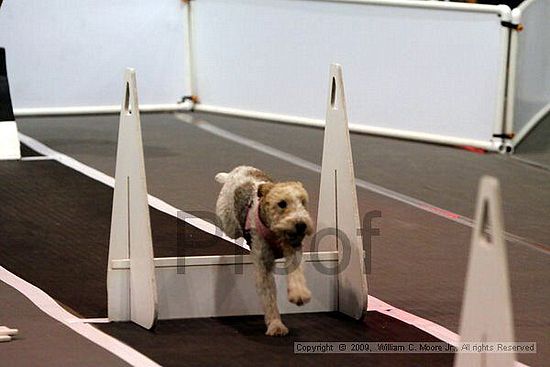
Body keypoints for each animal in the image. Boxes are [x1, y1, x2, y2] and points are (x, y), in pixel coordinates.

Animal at [218, 167, 316, 336]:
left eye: (303, 202)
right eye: (282, 203)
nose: (301, 225)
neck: (275, 231)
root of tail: (238, 170)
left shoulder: (293, 250)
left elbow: (296, 273)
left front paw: (299, 294)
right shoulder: (263, 264)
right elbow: (269, 296)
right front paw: (276, 325)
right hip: (228, 222)